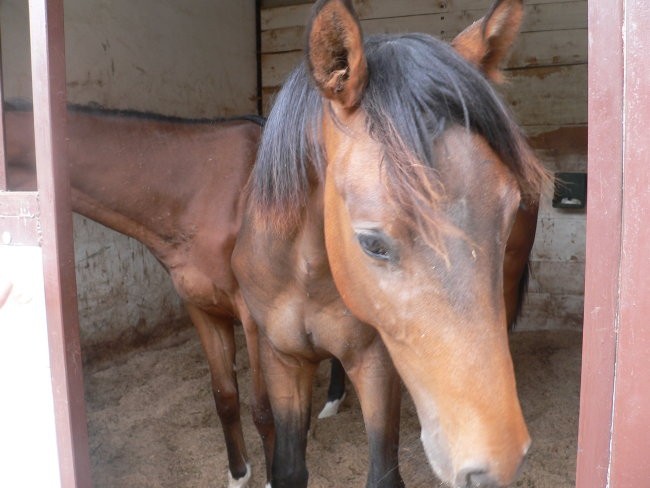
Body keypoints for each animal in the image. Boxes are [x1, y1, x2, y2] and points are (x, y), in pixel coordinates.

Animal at [3, 105, 272, 486]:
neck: (207, 190)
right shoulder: (202, 308)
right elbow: (225, 396)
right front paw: (239, 474)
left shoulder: (255, 318)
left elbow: (264, 410)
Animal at [233, 0, 548, 488]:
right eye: (372, 243)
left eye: (510, 209)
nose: (500, 458)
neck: (303, 272)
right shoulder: (281, 358)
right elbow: (288, 467)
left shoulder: (376, 362)